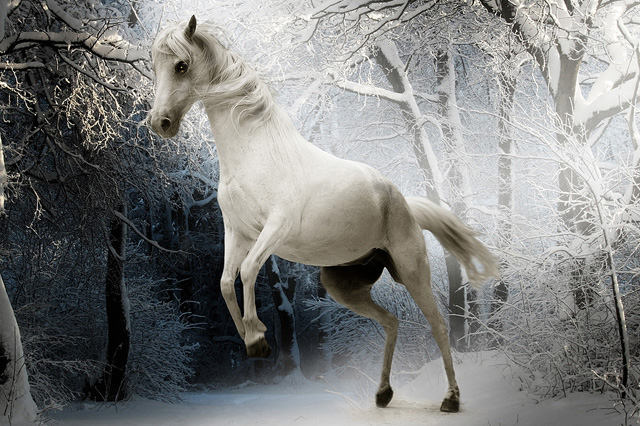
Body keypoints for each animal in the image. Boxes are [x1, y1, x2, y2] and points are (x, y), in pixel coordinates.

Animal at [148, 16, 498, 413]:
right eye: (155, 66)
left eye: (181, 65)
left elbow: (248, 271)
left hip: (412, 271)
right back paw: (383, 394)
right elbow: (224, 282)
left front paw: (258, 337)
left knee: (438, 325)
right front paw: (252, 341)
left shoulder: (276, 228)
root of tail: (403, 203)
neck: (255, 152)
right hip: (342, 285)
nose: (159, 123)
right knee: (391, 322)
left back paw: (450, 399)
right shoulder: (238, 232)